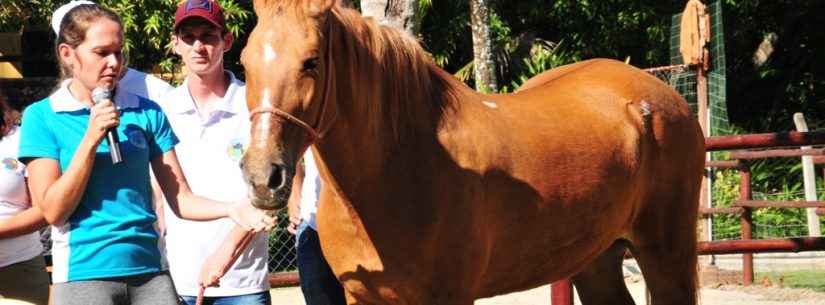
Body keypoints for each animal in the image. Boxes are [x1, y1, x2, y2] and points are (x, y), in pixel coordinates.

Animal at [237, 1, 700, 302]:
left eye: (311, 61)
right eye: (244, 61)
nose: (263, 177)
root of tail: (664, 97)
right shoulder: (364, 296)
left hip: (667, 255)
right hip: (597, 259)